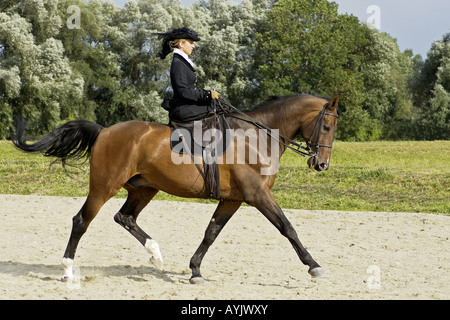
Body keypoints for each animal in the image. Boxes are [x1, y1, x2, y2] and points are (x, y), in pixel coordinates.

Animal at [12, 92, 340, 282]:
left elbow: (211, 232)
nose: (321, 164)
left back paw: (155, 254)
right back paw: (68, 269)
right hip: (104, 186)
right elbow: (288, 228)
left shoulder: (233, 199)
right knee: (82, 220)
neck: (256, 137)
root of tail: (105, 130)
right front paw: (314, 266)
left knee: (125, 217)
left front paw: (195, 270)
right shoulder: (257, 194)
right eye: (326, 126)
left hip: (144, 188)